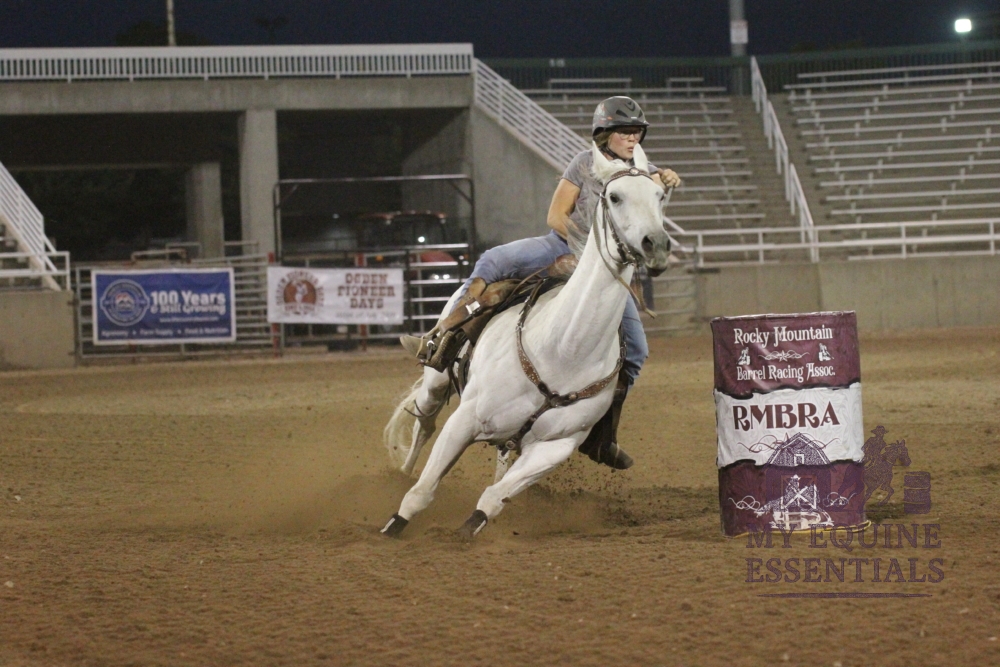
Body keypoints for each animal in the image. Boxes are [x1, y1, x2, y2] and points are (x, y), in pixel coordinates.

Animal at [380, 142, 672, 539]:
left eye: (659, 195)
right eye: (615, 196)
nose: (656, 245)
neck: (563, 350)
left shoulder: (554, 448)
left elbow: (492, 498)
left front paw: (469, 531)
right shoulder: (465, 418)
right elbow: (422, 490)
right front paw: (393, 526)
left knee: (500, 459)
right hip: (436, 381)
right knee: (424, 423)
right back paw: (401, 473)